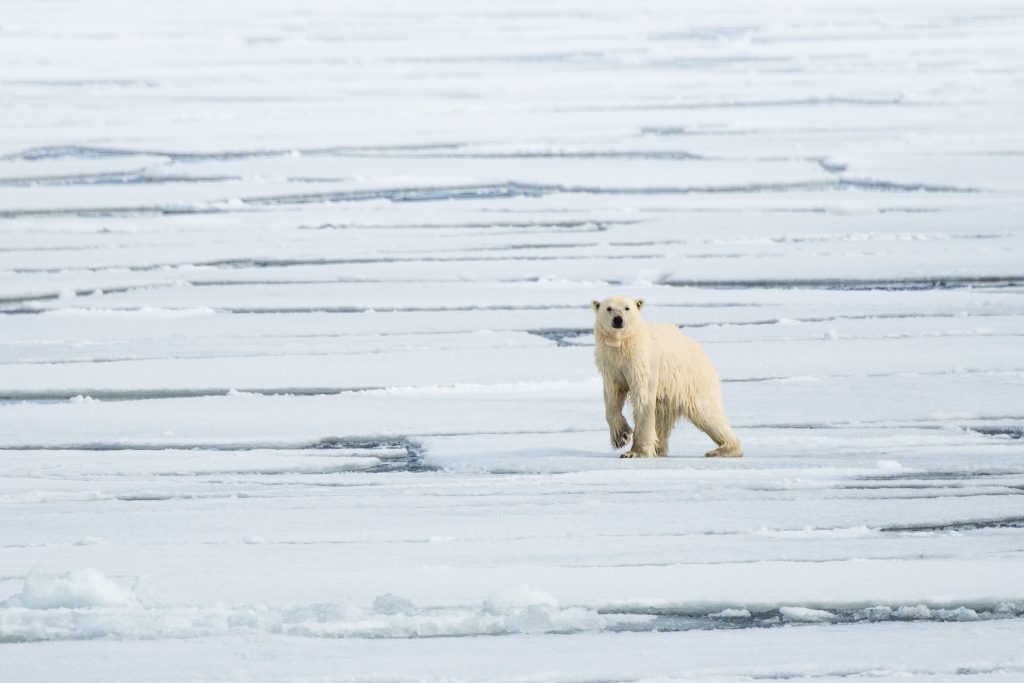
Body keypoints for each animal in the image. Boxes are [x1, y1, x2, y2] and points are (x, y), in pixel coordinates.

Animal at [592, 296, 743, 458]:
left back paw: (722, 449)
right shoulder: (611, 364)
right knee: (662, 417)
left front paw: (635, 452)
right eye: (609, 308)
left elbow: (643, 399)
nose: (618, 320)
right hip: (670, 392)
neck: (623, 345)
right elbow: (613, 396)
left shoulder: (642, 361)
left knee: (707, 414)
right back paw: (659, 448)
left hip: (692, 381)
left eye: (627, 308)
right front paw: (621, 437)